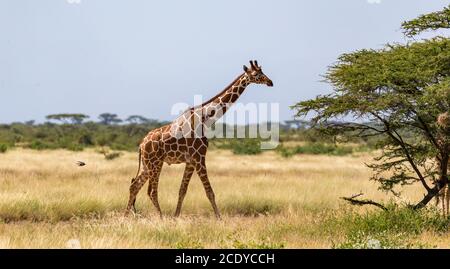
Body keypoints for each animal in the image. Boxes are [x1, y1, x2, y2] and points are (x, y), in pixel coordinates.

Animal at [125, 59, 274, 217]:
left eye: (262, 71)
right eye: (256, 74)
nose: (270, 82)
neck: (205, 119)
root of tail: (141, 144)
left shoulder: (191, 161)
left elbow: (182, 191)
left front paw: (176, 217)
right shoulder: (199, 157)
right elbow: (209, 192)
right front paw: (219, 218)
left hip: (147, 165)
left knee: (134, 185)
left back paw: (126, 216)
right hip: (155, 163)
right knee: (151, 191)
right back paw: (160, 217)